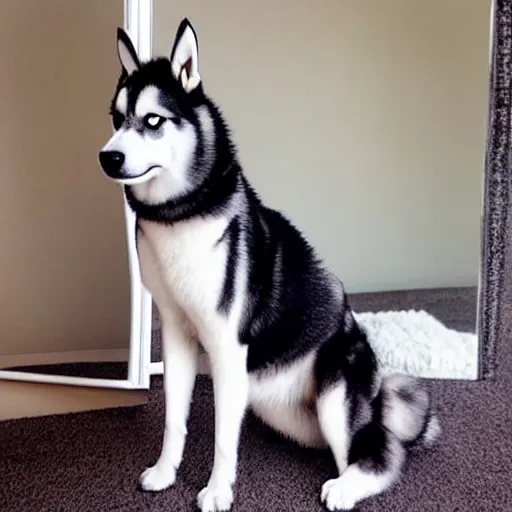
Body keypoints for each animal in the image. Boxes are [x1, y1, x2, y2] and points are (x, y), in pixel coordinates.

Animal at [99, 18, 440, 510]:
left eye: (153, 121)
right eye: (115, 118)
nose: (108, 157)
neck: (181, 214)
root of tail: (379, 395)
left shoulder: (226, 347)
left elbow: (224, 437)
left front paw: (217, 491)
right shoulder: (178, 336)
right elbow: (174, 420)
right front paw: (165, 472)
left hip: (335, 394)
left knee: (381, 454)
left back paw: (346, 486)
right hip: (277, 407)